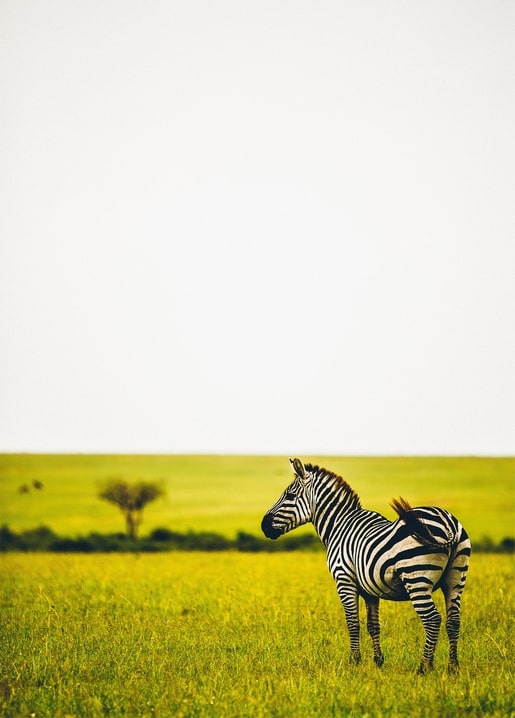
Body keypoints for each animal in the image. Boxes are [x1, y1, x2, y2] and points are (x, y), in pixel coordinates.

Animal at [261, 458, 471, 674]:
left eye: (290, 496)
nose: (263, 526)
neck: (338, 524)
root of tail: (448, 524)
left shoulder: (344, 579)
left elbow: (353, 622)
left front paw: (354, 660)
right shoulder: (370, 588)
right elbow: (373, 624)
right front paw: (378, 661)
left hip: (416, 578)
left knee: (432, 619)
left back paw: (424, 667)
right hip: (455, 579)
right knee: (453, 621)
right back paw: (453, 667)